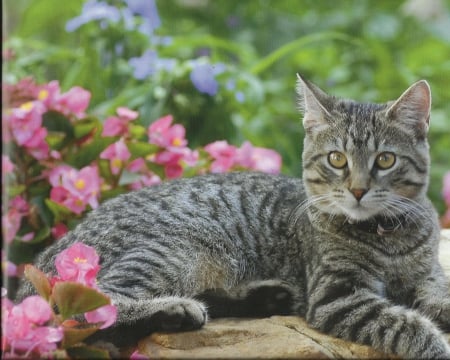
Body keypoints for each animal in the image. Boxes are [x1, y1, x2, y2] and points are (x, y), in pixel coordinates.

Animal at [17, 75, 450, 358]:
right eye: (337, 159)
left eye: (385, 160)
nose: (358, 189)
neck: (388, 234)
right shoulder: (337, 295)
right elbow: (405, 323)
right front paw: (435, 345)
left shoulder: (430, 275)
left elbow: (437, 299)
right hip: (176, 249)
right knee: (87, 312)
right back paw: (176, 310)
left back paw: (265, 296)